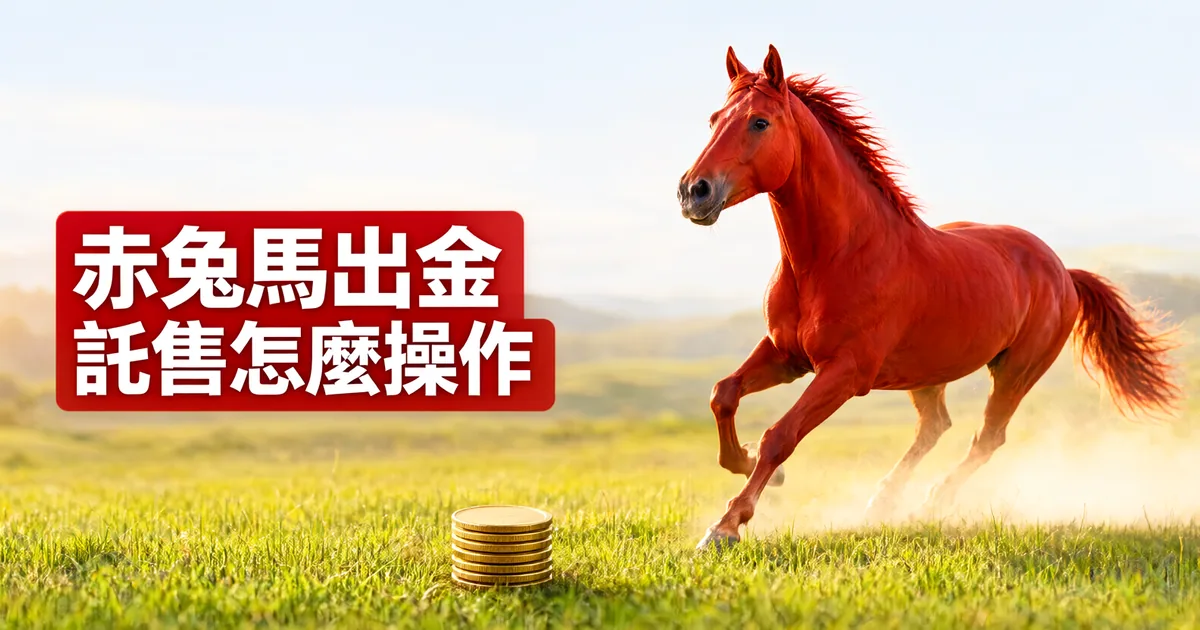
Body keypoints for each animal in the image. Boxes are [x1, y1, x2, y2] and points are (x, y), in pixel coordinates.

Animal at [677, 44, 1183, 550]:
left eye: (759, 122)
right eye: (714, 119)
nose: (692, 192)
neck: (834, 259)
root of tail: (1064, 273)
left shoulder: (845, 372)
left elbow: (780, 436)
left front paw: (724, 527)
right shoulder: (785, 355)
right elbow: (723, 394)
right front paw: (747, 465)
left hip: (1015, 373)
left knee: (988, 437)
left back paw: (930, 503)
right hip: (927, 374)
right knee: (935, 426)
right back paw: (883, 502)